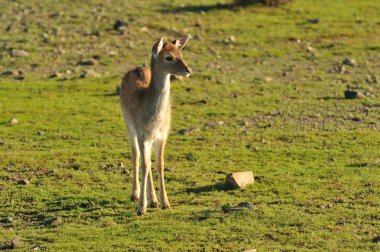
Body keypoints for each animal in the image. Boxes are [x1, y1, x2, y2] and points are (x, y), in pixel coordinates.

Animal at [119, 34, 191, 215]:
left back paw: (154, 200)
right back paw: (135, 195)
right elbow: (145, 165)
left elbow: (159, 164)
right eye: (169, 57)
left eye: (181, 54)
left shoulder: (162, 135)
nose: (188, 70)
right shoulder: (142, 134)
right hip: (130, 127)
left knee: (148, 160)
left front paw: (165, 202)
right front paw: (140, 208)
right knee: (136, 155)